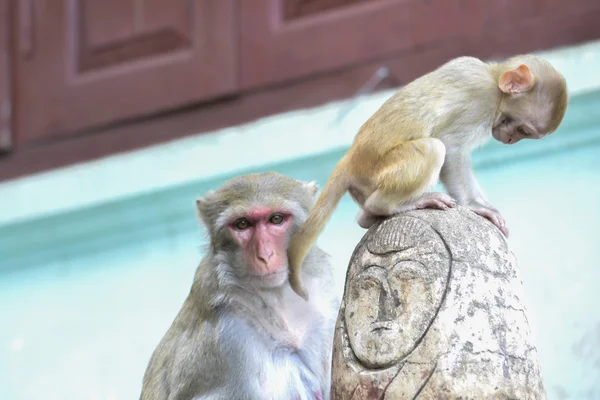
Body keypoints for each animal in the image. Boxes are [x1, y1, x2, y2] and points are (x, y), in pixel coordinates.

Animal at [288, 53, 568, 298]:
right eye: (523, 129)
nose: (510, 140)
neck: (493, 78)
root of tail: (350, 159)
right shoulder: (480, 101)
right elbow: (451, 146)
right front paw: (475, 207)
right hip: (380, 170)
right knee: (434, 148)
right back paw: (391, 205)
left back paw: (368, 217)